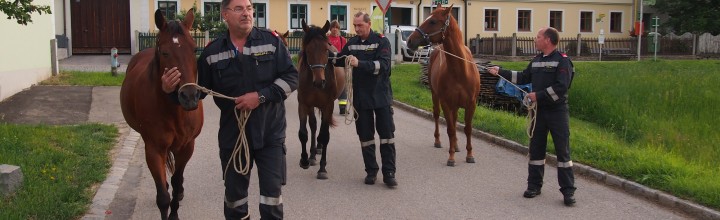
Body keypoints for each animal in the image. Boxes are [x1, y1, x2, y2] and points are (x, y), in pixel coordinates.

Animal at [119, 8, 201, 220]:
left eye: (194, 50)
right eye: (165, 52)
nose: (189, 97)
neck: (174, 110)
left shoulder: (187, 147)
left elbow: (177, 182)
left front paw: (175, 207)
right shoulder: (154, 149)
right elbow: (163, 197)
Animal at [296, 20, 346, 179]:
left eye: (326, 50)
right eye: (308, 50)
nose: (319, 82)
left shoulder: (328, 105)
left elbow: (325, 135)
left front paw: (322, 169)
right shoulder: (303, 104)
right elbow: (303, 133)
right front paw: (305, 160)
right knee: (313, 125)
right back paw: (312, 155)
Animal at [408, 4, 480, 166]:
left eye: (433, 21)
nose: (410, 41)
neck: (460, 71)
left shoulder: (471, 104)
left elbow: (468, 129)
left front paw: (470, 155)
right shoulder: (446, 102)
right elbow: (450, 129)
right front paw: (451, 157)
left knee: (455, 119)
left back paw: (457, 145)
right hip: (436, 96)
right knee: (437, 116)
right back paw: (439, 141)